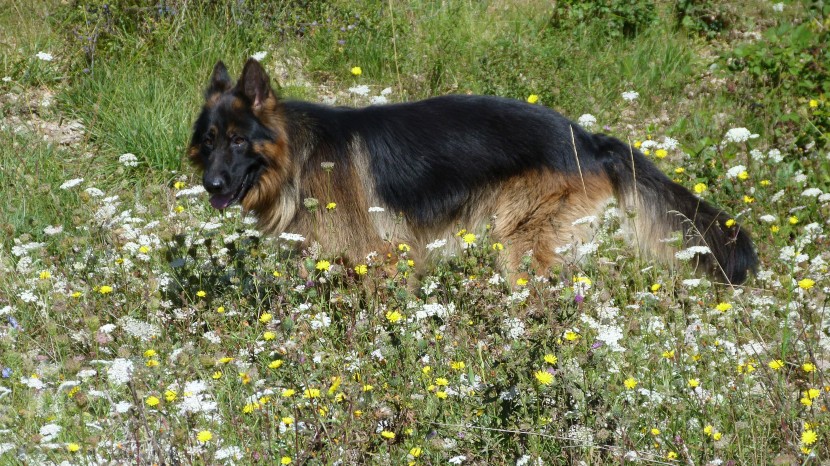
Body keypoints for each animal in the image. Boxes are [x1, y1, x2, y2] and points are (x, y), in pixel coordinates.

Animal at [190, 58, 760, 284]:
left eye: (239, 140)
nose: (211, 185)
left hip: (521, 242)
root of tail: (589, 139)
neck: (301, 157)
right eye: (210, 141)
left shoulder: (381, 259)